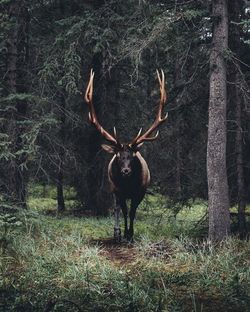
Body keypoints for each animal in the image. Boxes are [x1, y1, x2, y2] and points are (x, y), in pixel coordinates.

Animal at [84, 69, 168, 243]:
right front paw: (124, 234)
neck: (129, 185)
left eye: (133, 156)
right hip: (113, 187)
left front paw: (131, 233)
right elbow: (123, 210)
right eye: (118, 155)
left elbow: (132, 212)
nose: (126, 171)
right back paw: (116, 232)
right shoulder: (119, 191)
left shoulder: (140, 191)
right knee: (115, 207)